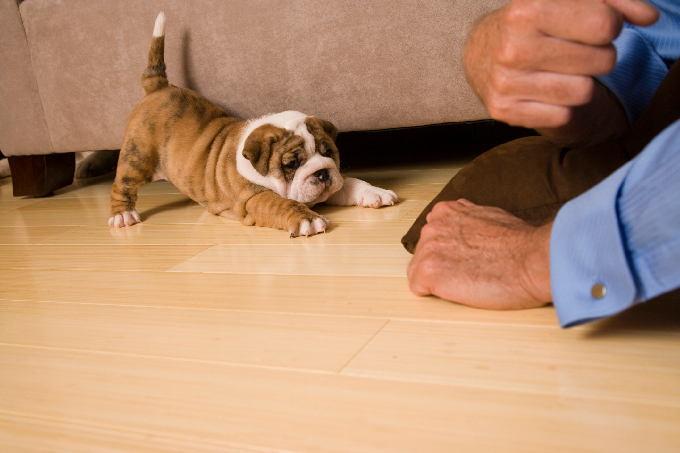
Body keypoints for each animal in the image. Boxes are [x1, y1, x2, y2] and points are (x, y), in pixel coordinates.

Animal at [109, 11, 398, 235]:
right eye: (291, 164)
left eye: (329, 153)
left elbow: (348, 182)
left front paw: (374, 192)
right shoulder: (253, 198)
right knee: (122, 185)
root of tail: (158, 87)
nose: (321, 173)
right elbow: (282, 204)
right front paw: (308, 219)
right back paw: (122, 216)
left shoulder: (334, 180)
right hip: (138, 158)